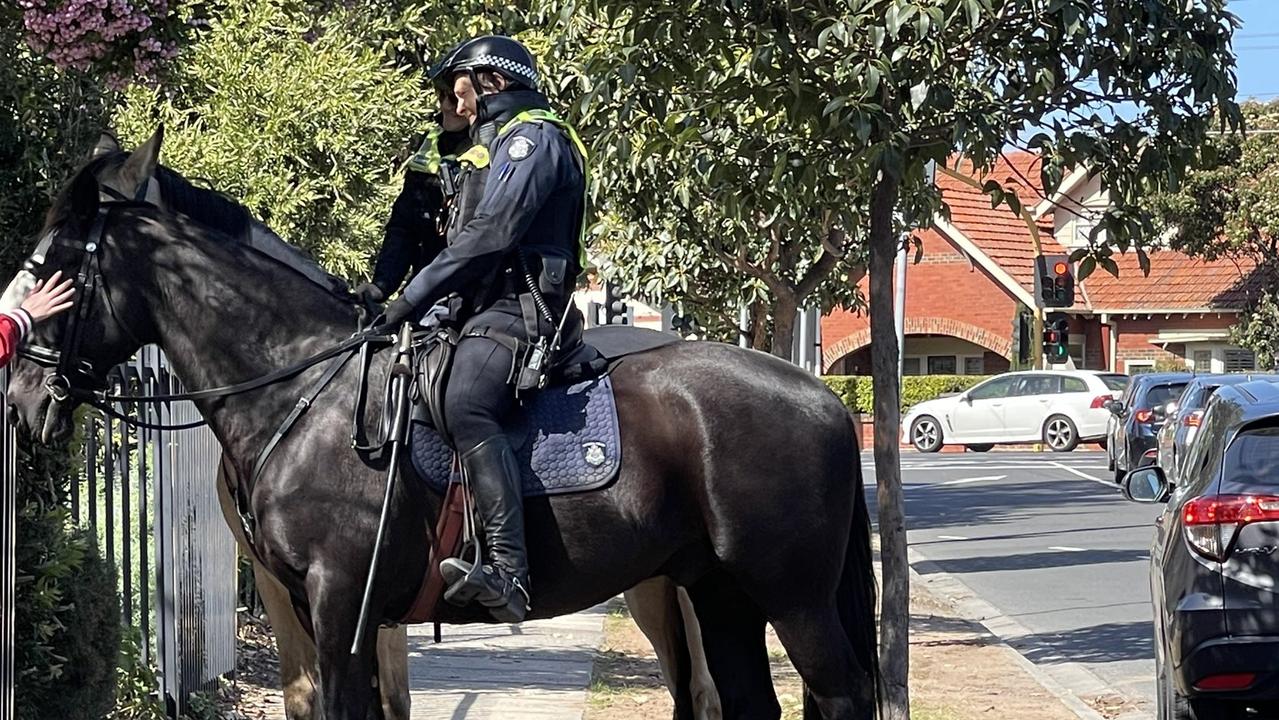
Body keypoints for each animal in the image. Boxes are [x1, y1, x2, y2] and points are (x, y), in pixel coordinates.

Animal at [4, 131, 879, 720]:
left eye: (56, 268)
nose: (20, 394)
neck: (306, 390)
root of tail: (824, 396)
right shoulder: (311, 611)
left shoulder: (340, 607)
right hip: (720, 593)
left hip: (790, 599)